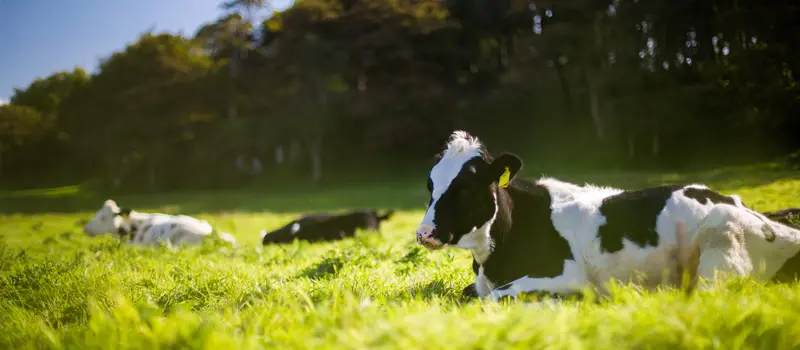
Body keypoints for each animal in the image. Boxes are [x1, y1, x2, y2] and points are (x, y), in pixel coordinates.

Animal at [416, 131, 800, 300]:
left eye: (466, 186)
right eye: (430, 184)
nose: (424, 233)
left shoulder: (566, 274)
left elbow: (496, 297)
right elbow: (471, 293)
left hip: (721, 246)